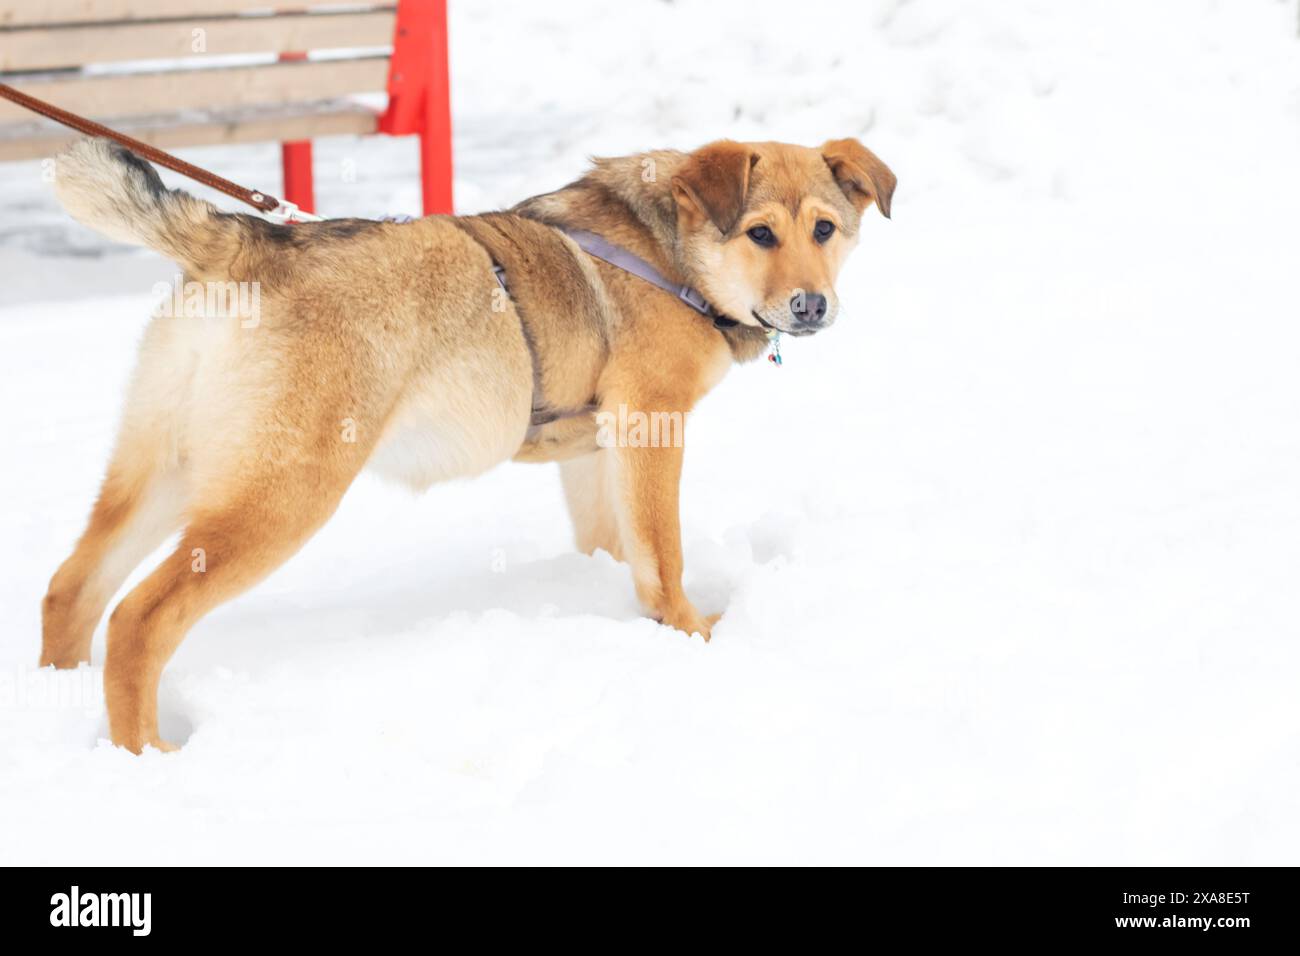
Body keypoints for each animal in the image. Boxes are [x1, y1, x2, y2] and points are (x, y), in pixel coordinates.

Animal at [43, 134, 894, 749]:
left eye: (824, 229)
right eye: (760, 233)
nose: (812, 306)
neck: (671, 254)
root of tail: (247, 241)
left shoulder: (598, 453)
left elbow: (616, 546)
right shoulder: (652, 427)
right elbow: (663, 558)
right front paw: (689, 635)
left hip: (161, 473)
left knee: (70, 589)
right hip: (280, 495)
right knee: (138, 620)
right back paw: (145, 755)